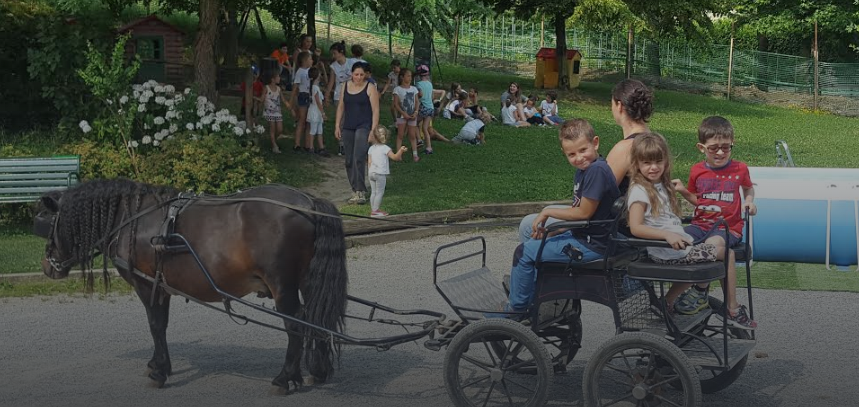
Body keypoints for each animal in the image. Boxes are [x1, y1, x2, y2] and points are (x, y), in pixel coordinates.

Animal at [37, 179, 346, 396]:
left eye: (49, 222)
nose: (47, 266)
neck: (135, 218)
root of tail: (308, 201)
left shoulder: (147, 285)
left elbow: (156, 326)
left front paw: (159, 371)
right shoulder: (162, 286)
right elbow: (161, 325)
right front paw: (157, 364)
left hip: (282, 285)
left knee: (296, 325)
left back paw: (285, 378)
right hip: (307, 281)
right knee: (317, 317)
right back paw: (318, 370)